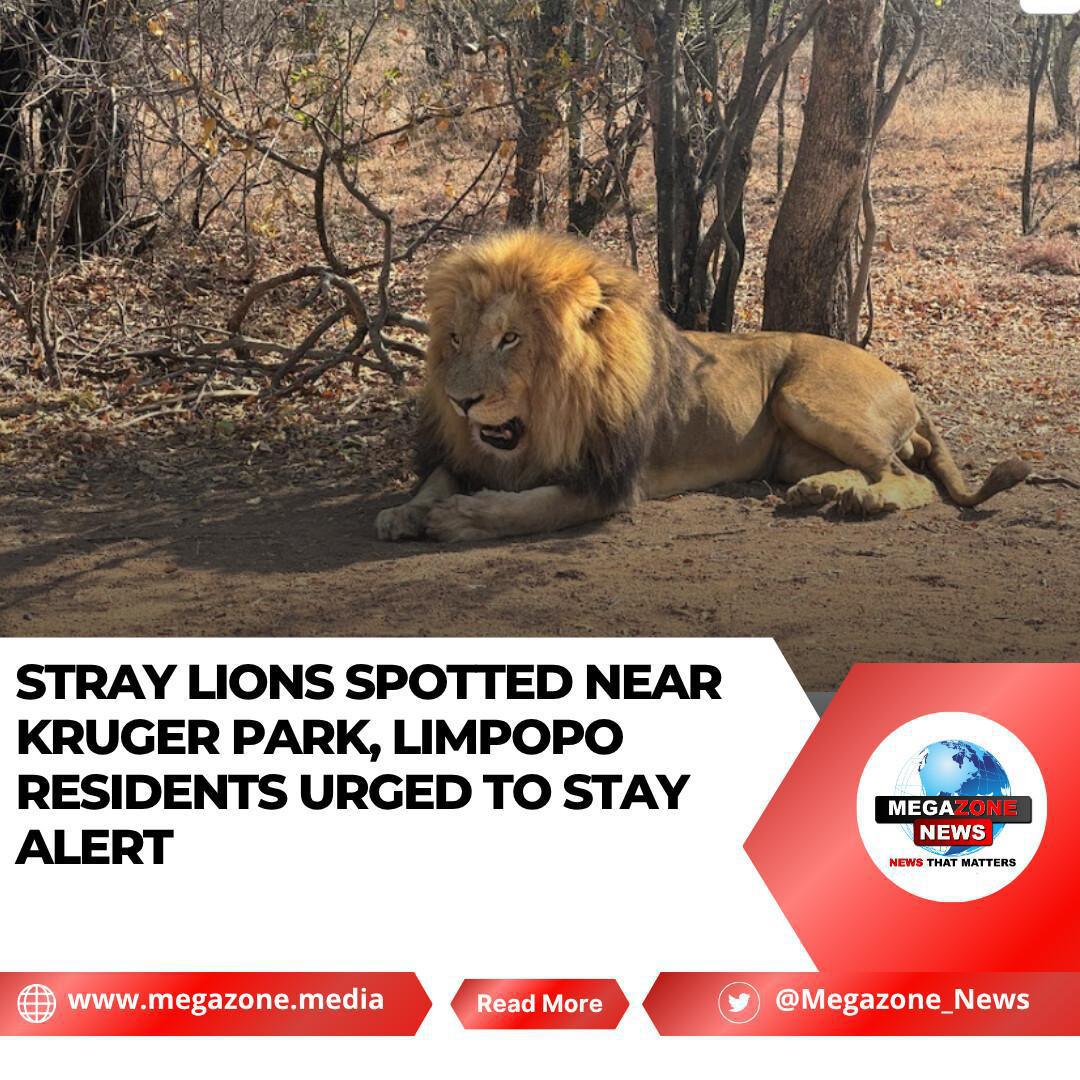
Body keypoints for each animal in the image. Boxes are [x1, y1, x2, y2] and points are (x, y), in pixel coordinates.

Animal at [375, 231, 1030, 543]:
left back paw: (868, 501)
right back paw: (822, 492)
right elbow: (439, 476)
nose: (460, 401)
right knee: (874, 467)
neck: (546, 418)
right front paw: (406, 511)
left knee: (908, 477)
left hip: (804, 396)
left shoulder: (610, 482)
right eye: (455, 338)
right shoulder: (474, 453)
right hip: (791, 443)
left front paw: (463, 519)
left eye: (510, 339)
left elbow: (530, 510)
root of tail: (904, 382)